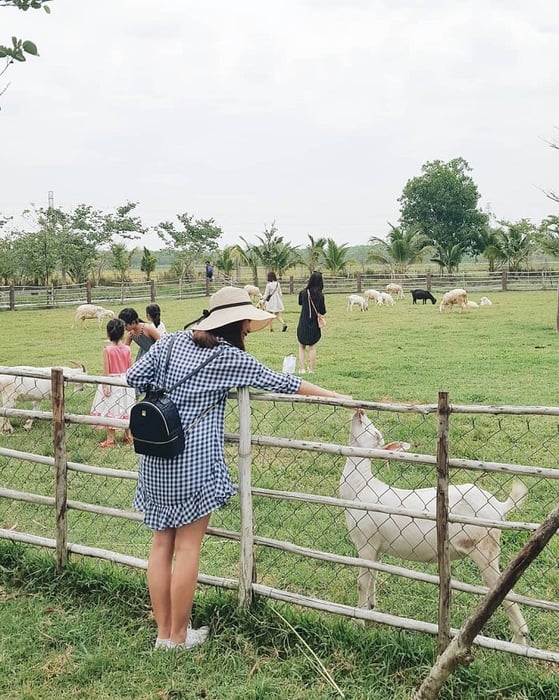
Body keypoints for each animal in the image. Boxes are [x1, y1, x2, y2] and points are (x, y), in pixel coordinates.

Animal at [342, 410, 528, 644]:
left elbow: (362, 583)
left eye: (375, 433)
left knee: (507, 593)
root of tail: (500, 507)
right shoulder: (376, 546)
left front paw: (357, 622)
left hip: (485, 548)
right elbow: (374, 578)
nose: (360, 411)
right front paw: (371, 609)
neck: (360, 487)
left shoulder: (365, 542)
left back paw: (520, 640)